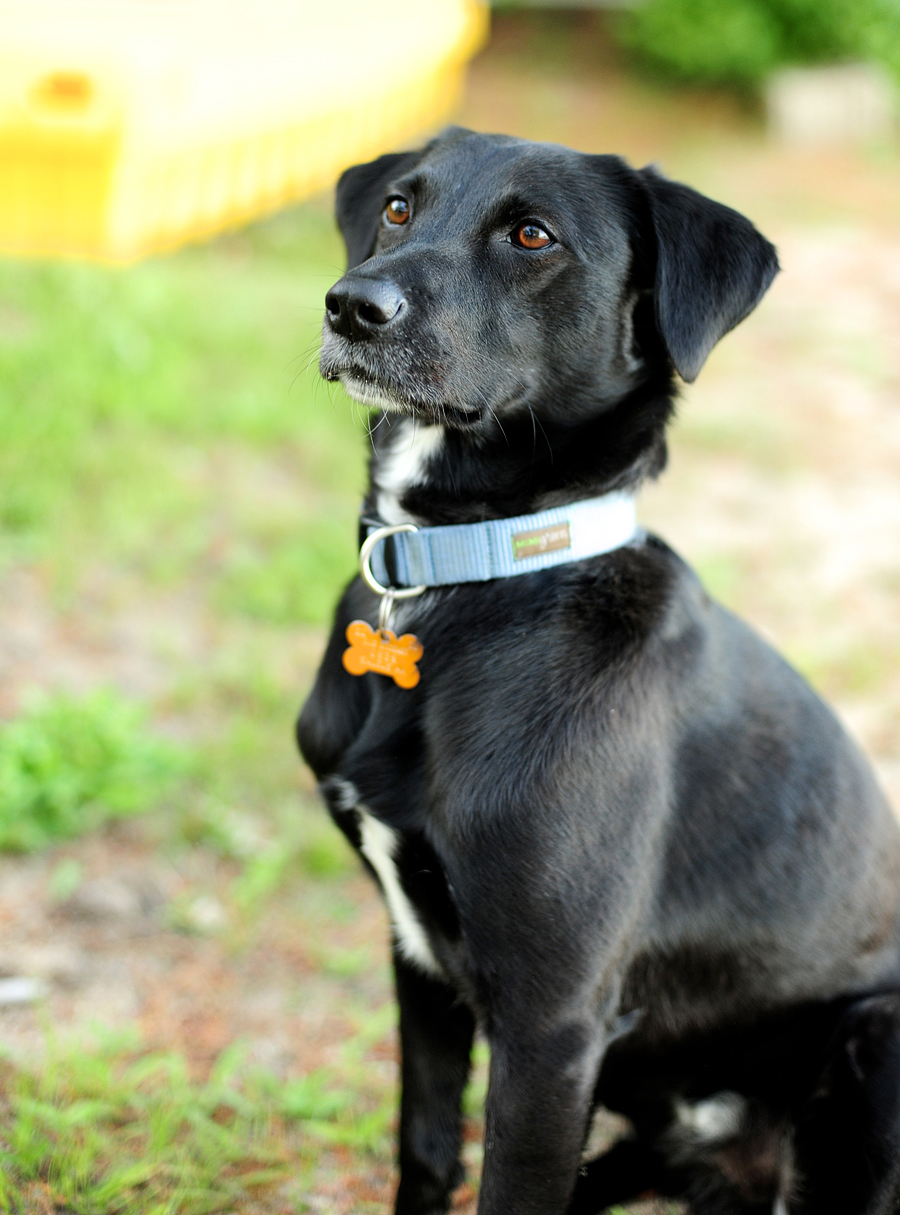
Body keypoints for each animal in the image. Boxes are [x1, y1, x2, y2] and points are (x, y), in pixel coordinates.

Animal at [296, 128, 898, 1210]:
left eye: (532, 235)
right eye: (400, 207)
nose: (351, 304)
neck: (468, 573)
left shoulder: (553, 1025)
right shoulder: (420, 962)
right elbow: (425, 1146)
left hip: (877, 1033)